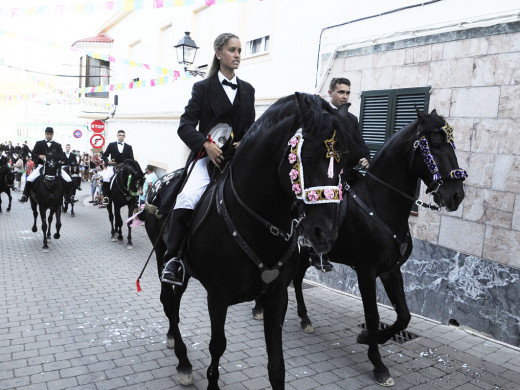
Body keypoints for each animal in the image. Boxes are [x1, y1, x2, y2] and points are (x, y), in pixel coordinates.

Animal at [141, 93, 362, 388]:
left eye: (343, 163)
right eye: (304, 157)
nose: (324, 233)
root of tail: (159, 183)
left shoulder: (277, 297)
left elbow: (277, 364)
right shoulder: (217, 297)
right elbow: (217, 346)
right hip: (163, 259)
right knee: (170, 304)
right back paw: (183, 361)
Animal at [251, 108, 464, 386]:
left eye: (452, 143)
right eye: (436, 145)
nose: (456, 195)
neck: (379, 203)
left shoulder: (390, 271)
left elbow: (404, 316)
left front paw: (369, 339)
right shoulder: (366, 272)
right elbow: (372, 317)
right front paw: (378, 363)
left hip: (305, 254)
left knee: (296, 281)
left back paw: (305, 318)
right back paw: (259, 308)